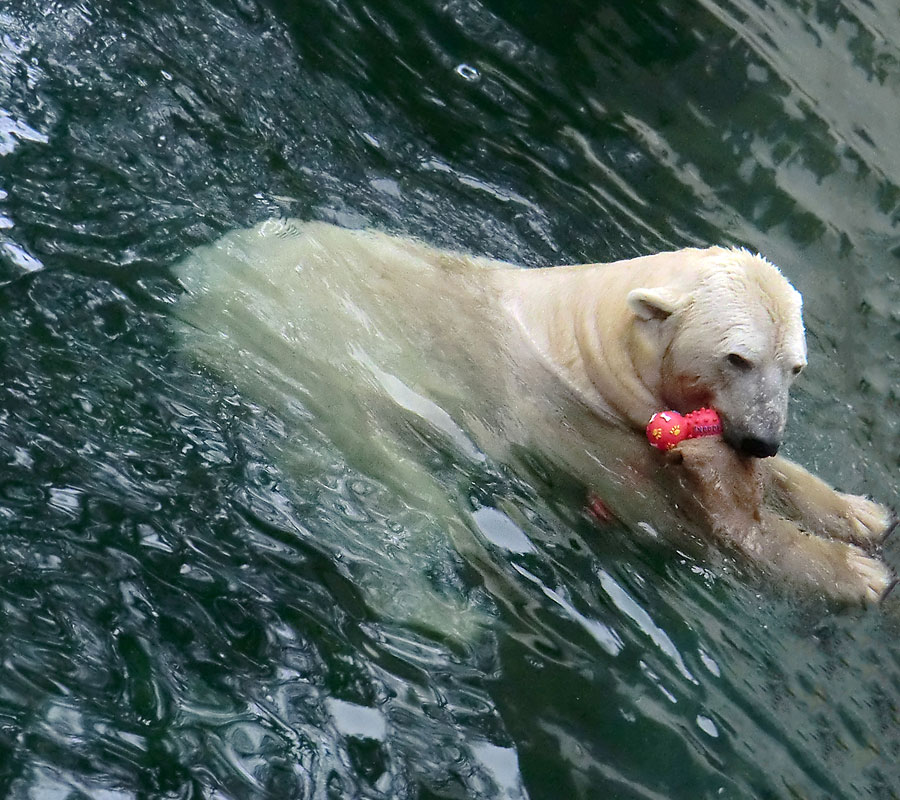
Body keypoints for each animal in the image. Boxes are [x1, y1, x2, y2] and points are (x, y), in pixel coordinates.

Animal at [172, 219, 896, 608]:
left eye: (794, 366)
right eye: (737, 357)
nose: (763, 438)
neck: (592, 343)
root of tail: (195, 277)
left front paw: (862, 513)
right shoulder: (572, 422)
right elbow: (681, 520)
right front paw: (858, 573)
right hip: (317, 362)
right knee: (400, 486)